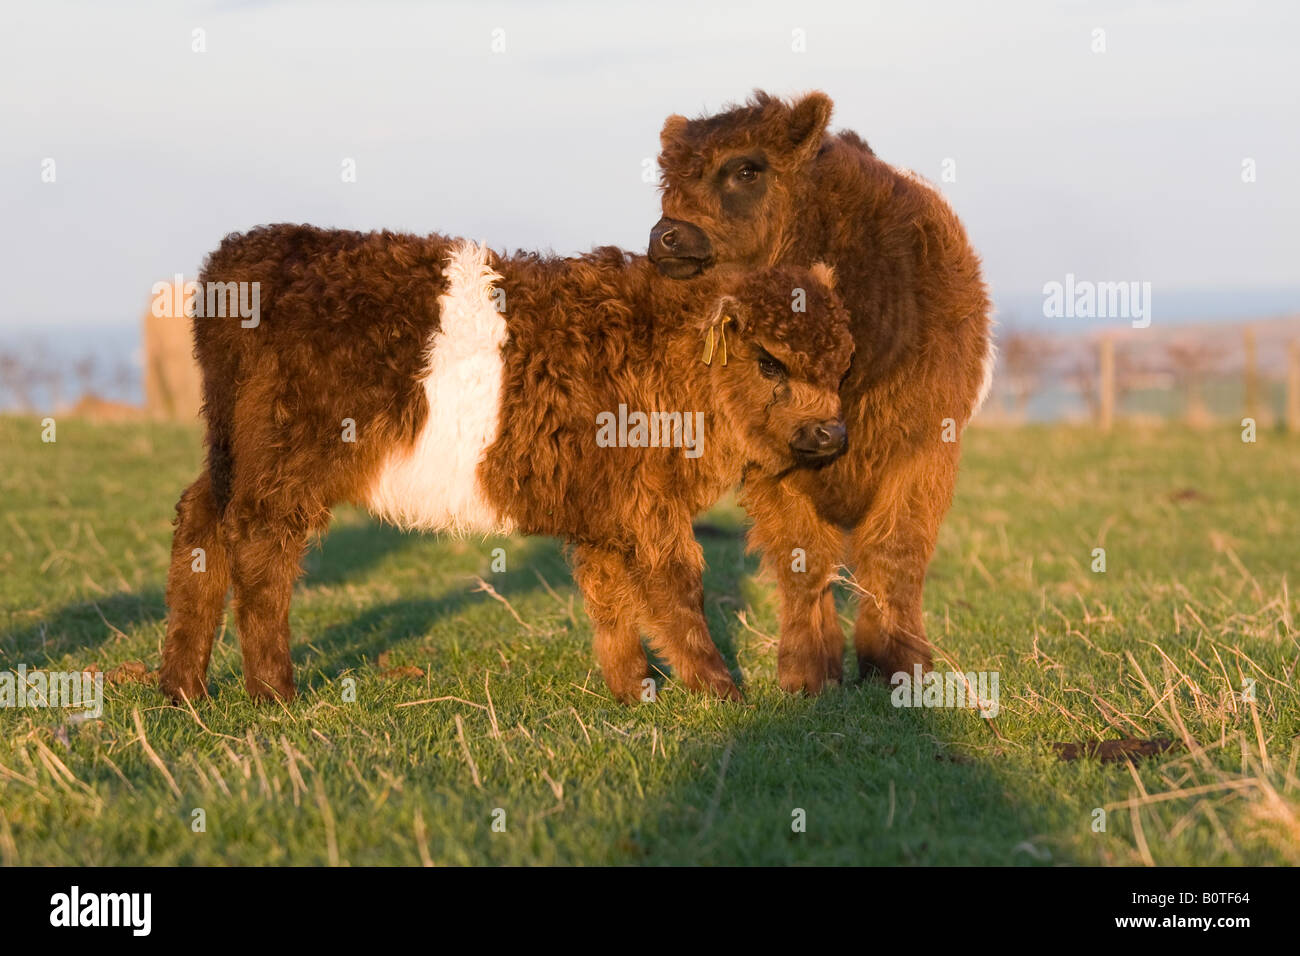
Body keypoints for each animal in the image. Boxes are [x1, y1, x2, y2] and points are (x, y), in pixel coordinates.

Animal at [157, 224, 854, 705]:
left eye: (842, 363)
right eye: (769, 362)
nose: (831, 432)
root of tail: (247, 252)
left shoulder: (605, 512)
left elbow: (610, 597)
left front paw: (634, 691)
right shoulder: (647, 504)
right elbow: (678, 589)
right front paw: (721, 691)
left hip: (233, 452)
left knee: (200, 523)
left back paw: (183, 687)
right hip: (283, 461)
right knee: (260, 547)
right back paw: (274, 691)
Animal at [649, 90, 994, 694]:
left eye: (747, 169)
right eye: (667, 176)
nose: (665, 235)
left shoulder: (924, 452)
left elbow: (894, 556)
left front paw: (900, 663)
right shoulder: (773, 462)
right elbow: (804, 560)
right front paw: (808, 672)